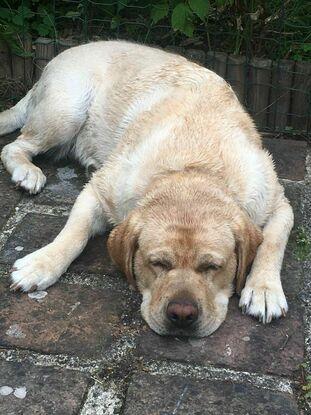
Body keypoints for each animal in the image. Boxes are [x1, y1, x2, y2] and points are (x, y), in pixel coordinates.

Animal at [0, 40, 292, 338]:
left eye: (213, 267)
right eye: (157, 263)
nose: (182, 314)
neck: (192, 167)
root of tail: (57, 58)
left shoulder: (278, 202)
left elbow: (272, 241)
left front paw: (264, 290)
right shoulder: (99, 191)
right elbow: (74, 234)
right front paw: (41, 265)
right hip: (66, 112)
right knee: (15, 145)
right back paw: (27, 172)